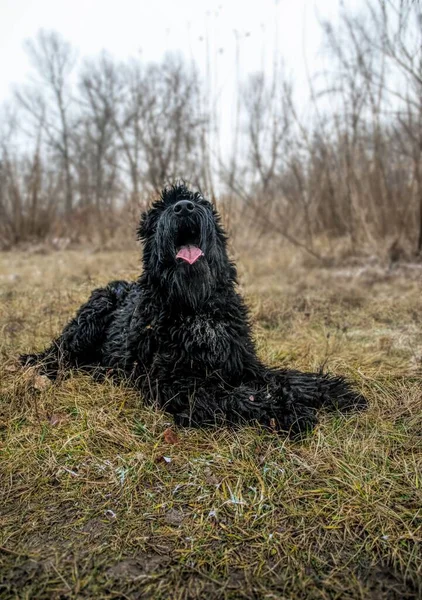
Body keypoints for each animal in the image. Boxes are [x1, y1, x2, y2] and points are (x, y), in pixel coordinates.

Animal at [21, 184, 366, 436]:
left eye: (197, 201)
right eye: (160, 210)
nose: (184, 207)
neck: (196, 308)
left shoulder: (244, 364)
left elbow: (287, 377)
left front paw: (333, 391)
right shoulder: (173, 385)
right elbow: (233, 396)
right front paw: (282, 410)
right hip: (91, 316)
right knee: (57, 353)